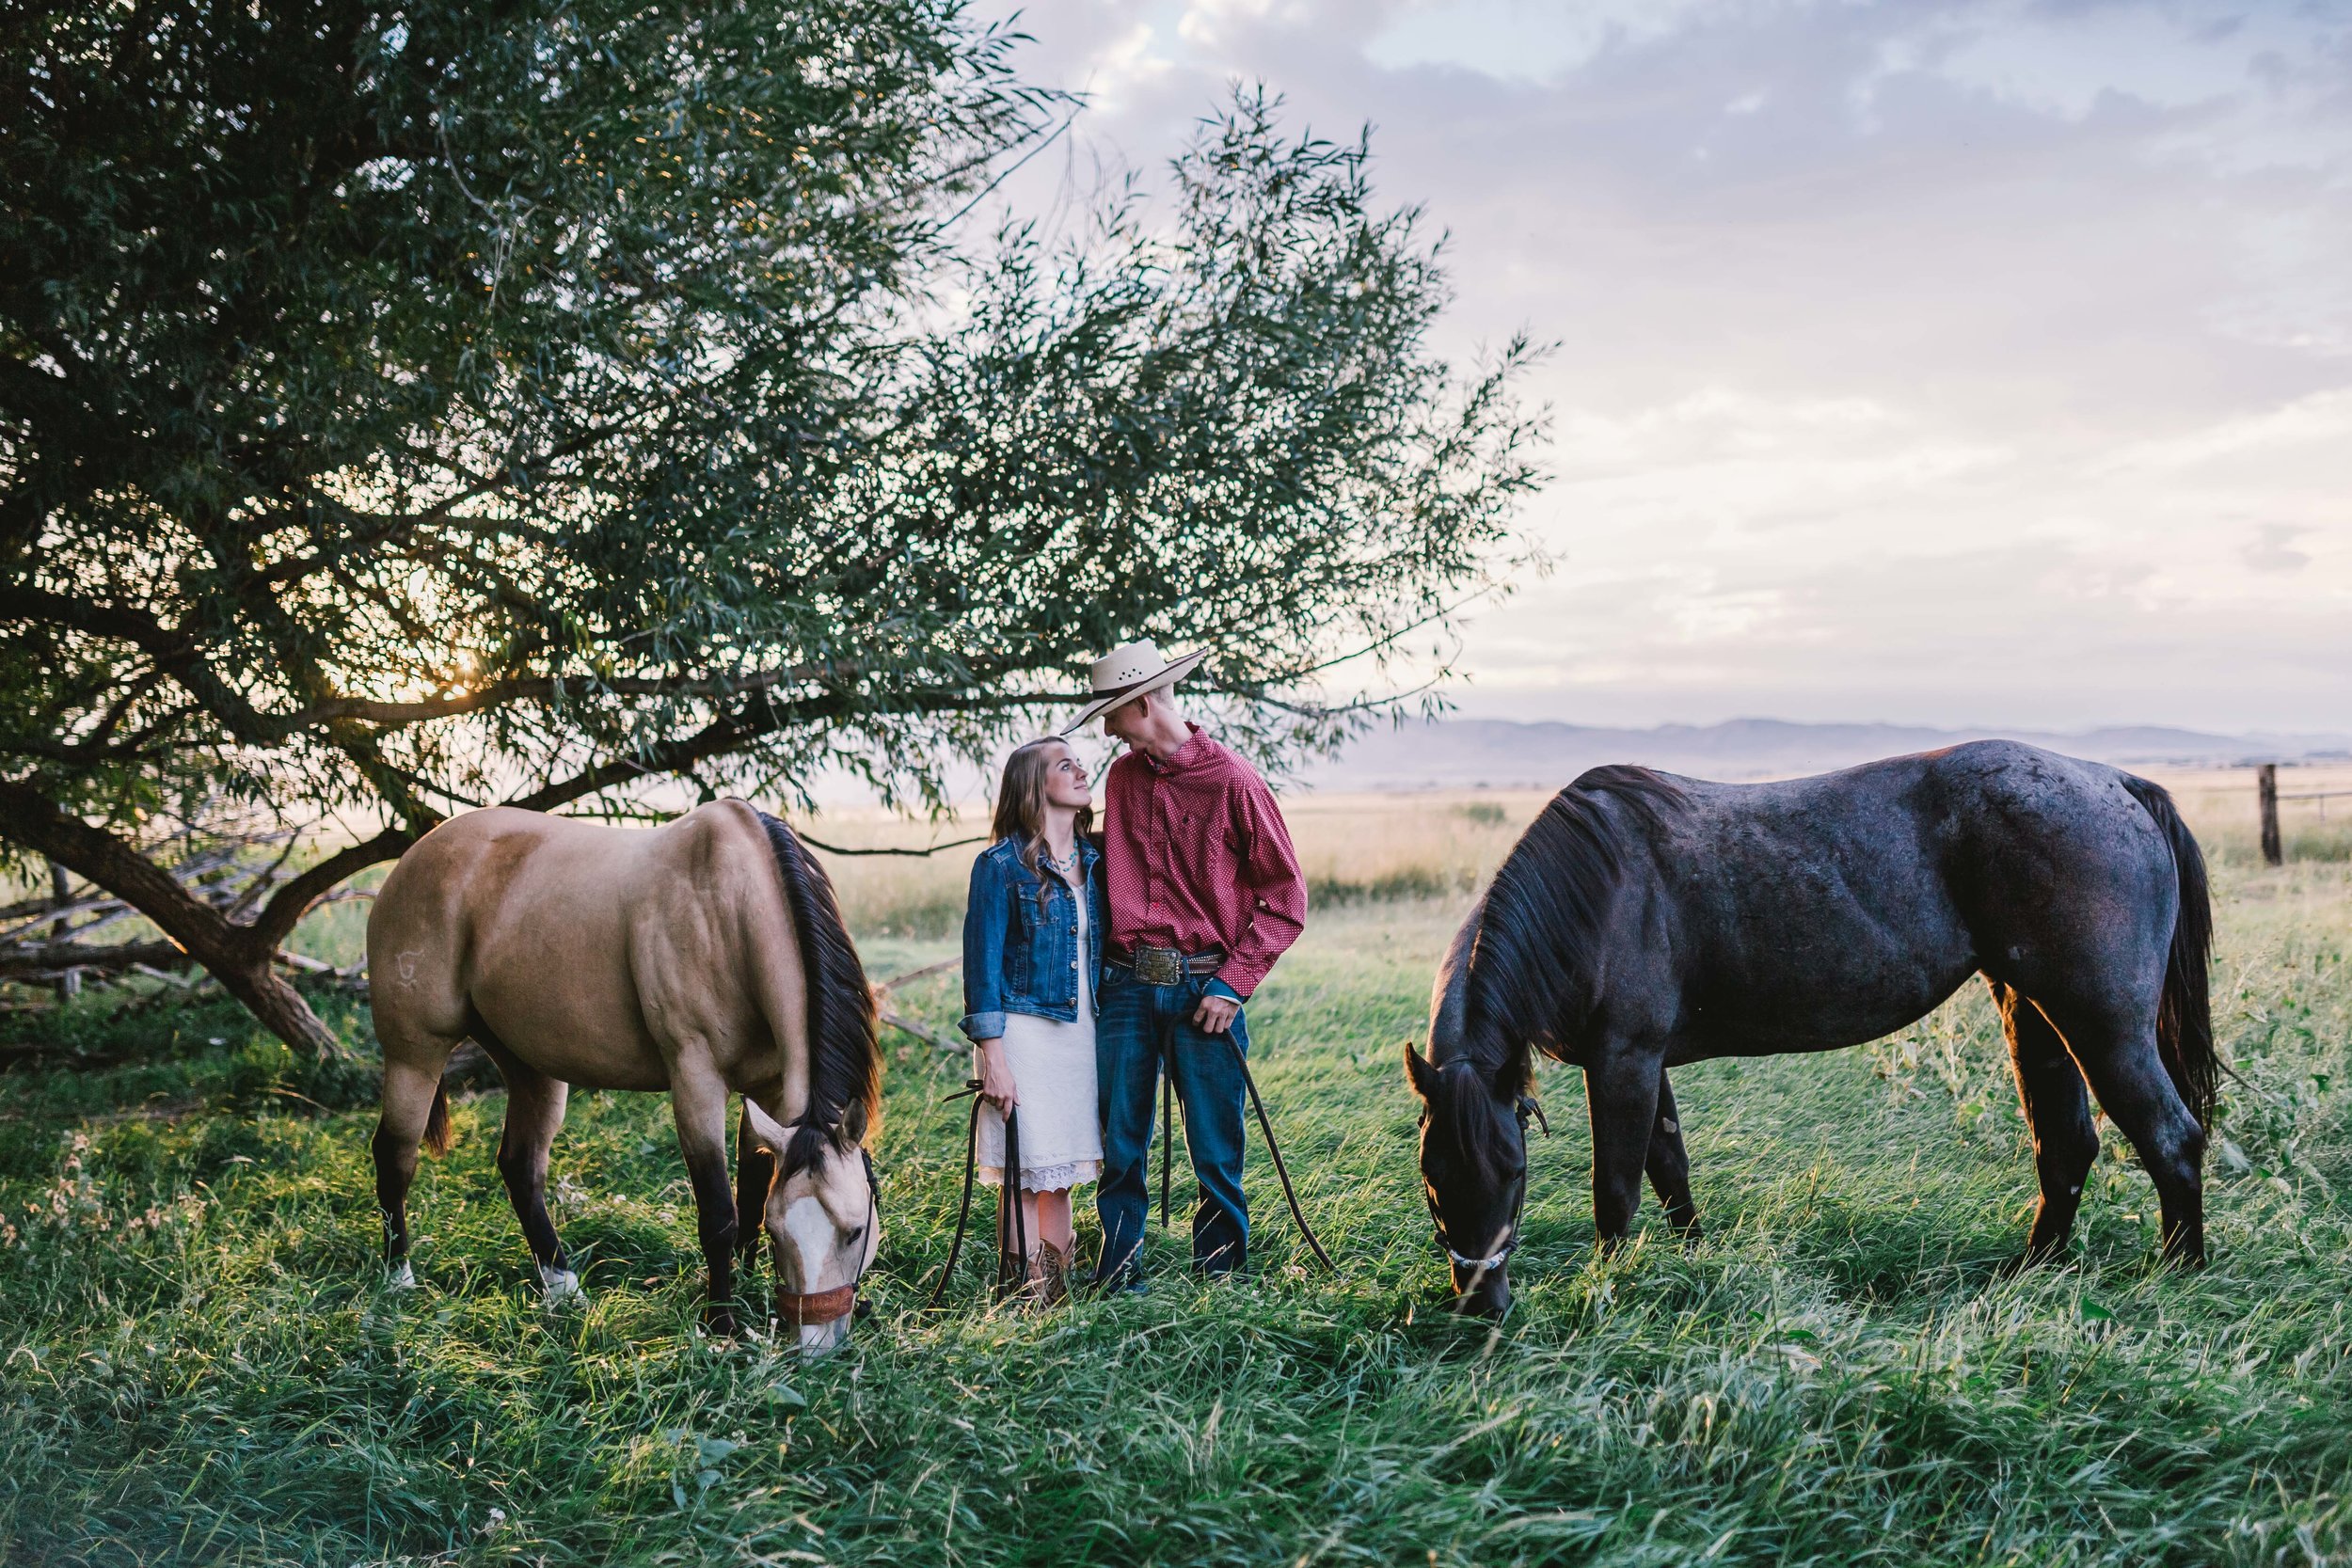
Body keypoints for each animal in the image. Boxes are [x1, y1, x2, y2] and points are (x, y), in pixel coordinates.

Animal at [367, 803, 884, 1354]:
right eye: (784, 1235)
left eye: (856, 1231)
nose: (814, 1347)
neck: (729, 909)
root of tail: (414, 858)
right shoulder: (696, 1083)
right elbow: (719, 1214)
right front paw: (721, 1324)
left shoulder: (768, 1091)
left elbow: (751, 1193)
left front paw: (746, 1286)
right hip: (415, 1056)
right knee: (394, 1156)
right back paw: (398, 1279)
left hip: (531, 1067)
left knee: (520, 1167)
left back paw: (563, 1289)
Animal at [1402, 742, 2211, 1316]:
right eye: (1433, 1177)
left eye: (1515, 1173)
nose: (1482, 1306)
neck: (1597, 894)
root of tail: (2117, 785)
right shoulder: (1644, 1063)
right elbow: (1671, 1171)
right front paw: (1693, 1260)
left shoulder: (1622, 1061)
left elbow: (1617, 1191)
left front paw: (1605, 1289)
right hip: (2036, 1016)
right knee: (2066, 1145)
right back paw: (2031, 1270)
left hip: (2105, 1029)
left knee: (2172, 1138)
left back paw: (2179, 1274)